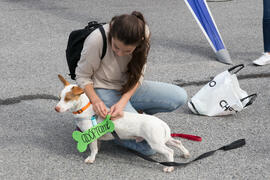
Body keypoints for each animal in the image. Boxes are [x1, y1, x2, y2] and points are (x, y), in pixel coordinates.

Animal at [54, 75, 190, 173]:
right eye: (59, 97)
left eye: (67, 98)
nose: (56, 108)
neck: (84, 110)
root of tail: (161, 122)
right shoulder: (96, 137)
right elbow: (97, 147)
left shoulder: (91, 137)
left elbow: (93, 149)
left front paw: (91, 158)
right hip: (162, 139)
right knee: (177, 142)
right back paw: (185, 153)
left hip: (155, 143)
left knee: (169, 152)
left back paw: (169, 167)